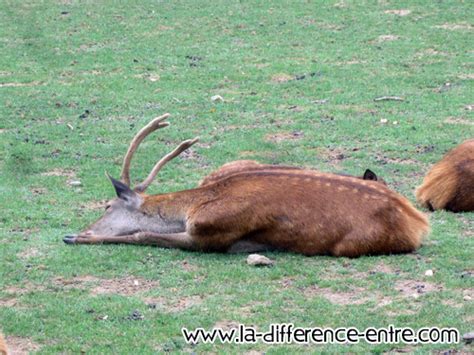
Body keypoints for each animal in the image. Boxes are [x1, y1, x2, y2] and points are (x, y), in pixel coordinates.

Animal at [65, 115, 432, 258]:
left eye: (106, 206)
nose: (76, 231)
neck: (191, 208)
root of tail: (420, 221)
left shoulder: (211, 233)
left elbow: (143, 234)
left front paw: (82, 238)